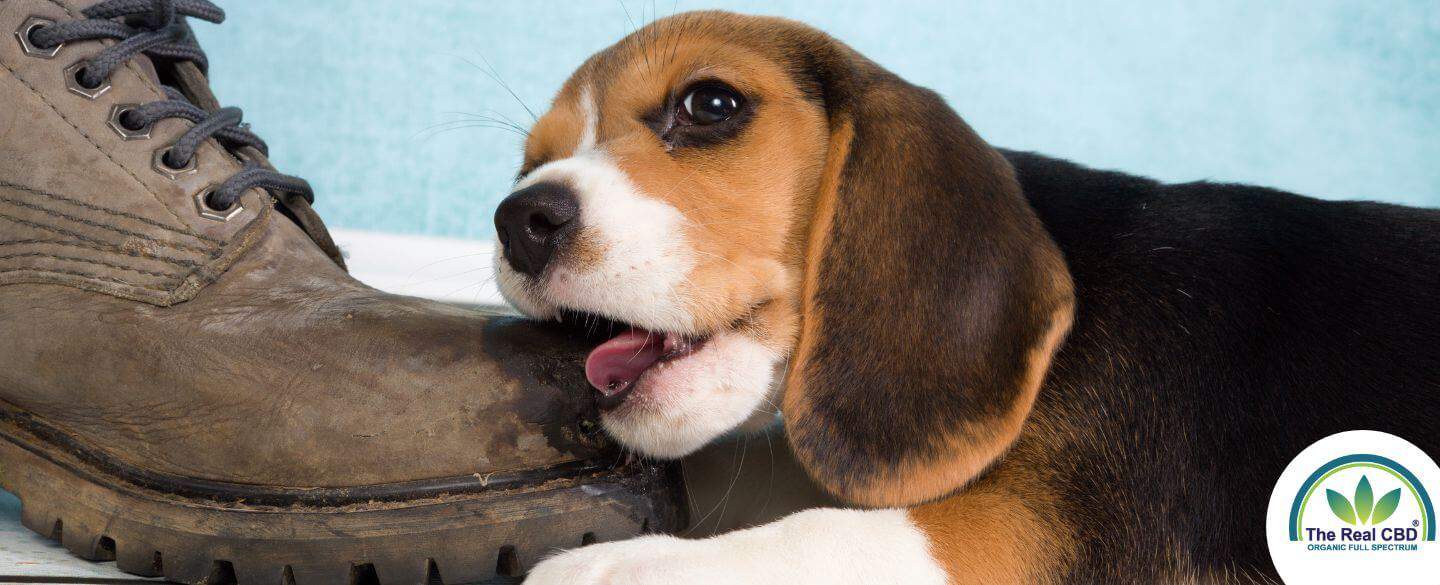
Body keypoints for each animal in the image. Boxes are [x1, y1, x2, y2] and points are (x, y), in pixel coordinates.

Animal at [492, 10, 1440, 585]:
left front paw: (612, 566)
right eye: (528, 162)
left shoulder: (1022, 536)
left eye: (710, 103)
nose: (520, 220)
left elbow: (824, 531)